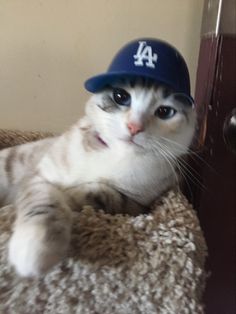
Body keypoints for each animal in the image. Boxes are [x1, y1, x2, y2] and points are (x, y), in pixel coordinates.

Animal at [0, 79, 195, 278]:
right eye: (120, 96)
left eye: (165, 111)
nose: (134, 127)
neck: (115, 154)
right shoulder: (40, 176)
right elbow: (43, 200)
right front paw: (36, 246)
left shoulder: (138, 204)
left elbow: (99, 194)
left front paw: (68, 196)